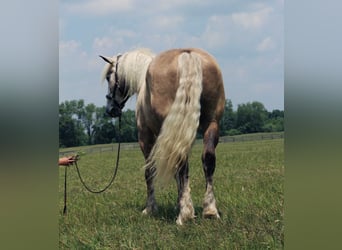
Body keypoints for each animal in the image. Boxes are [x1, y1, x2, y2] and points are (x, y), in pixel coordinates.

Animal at [100, 47, 226, 225]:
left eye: (109, 77)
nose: (110, 109)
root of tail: (187, 54)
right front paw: (180, 202)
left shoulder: (145, 136)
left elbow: (150, 171)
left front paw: (151, 208)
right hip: (211, 123)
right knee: (207, 158)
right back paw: (210, 210)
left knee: (181, 163)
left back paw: (184, 215)